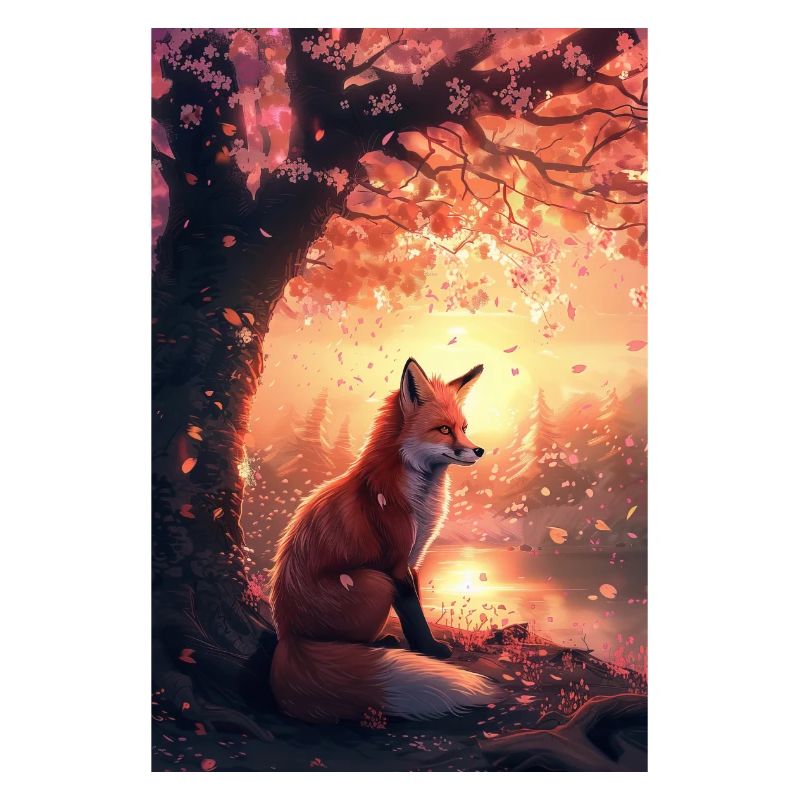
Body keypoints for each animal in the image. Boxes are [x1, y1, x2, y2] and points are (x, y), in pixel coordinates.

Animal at [268, 357, 501, 723]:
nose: (478, 450)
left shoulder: (414, 560)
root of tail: (288, 636)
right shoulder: (395, 563)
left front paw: (425, 649)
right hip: (374, 581)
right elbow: (414, 614)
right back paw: (381, 645)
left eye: (464, 427)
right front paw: (430, 651)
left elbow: (414, 607)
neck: (418, 500)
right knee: (347, 644)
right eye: (444, 430)